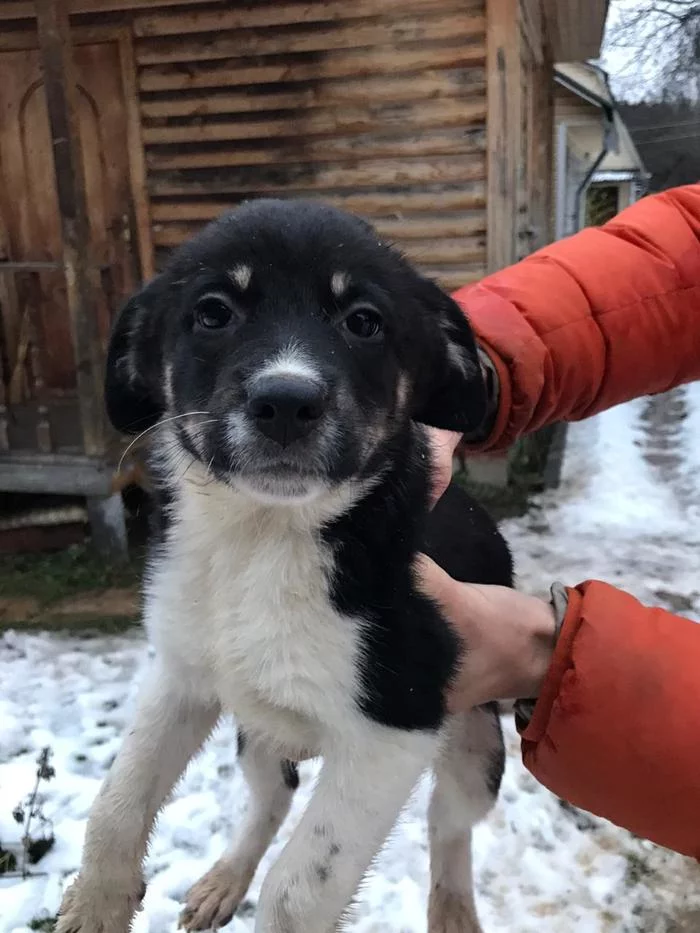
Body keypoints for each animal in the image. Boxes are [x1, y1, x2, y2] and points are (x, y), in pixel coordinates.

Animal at [57, 200, 512, 932]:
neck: (261, 539)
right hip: (254, 729)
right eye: (213, 312)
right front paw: (96, 902)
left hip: (476, 743)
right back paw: (225, 880)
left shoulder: (396, 723)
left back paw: (453, 912)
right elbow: (118, 798)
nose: (287, 403)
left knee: (449, 827)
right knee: (273, 797)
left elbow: (298, 890)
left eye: (364, 321)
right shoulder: (183, 675)